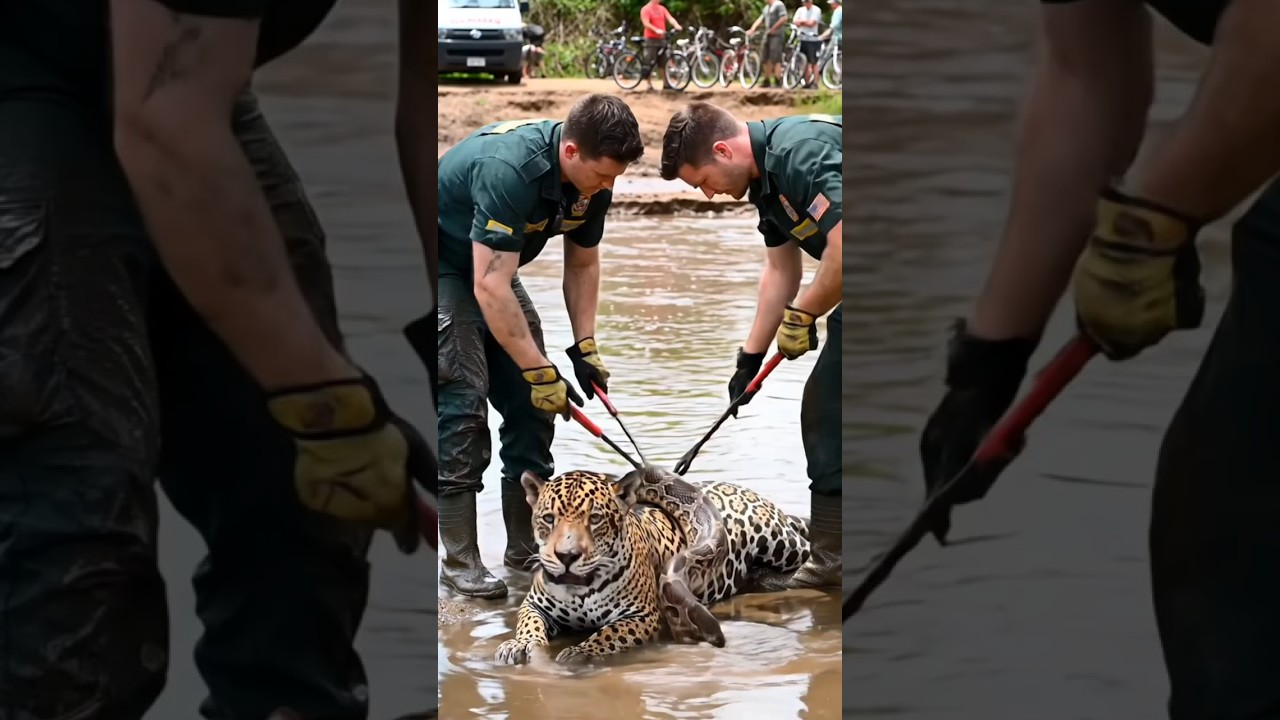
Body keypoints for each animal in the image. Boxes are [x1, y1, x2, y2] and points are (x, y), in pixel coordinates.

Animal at [494, 466, 811, 667]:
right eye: (548, 519)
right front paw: (518, 644)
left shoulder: (643, 616)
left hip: (781, 543)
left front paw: (579, 652)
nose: (566, 556)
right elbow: (528, 622)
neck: (580, 588)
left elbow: (608, 634)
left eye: (595, 520)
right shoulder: (534, 604)